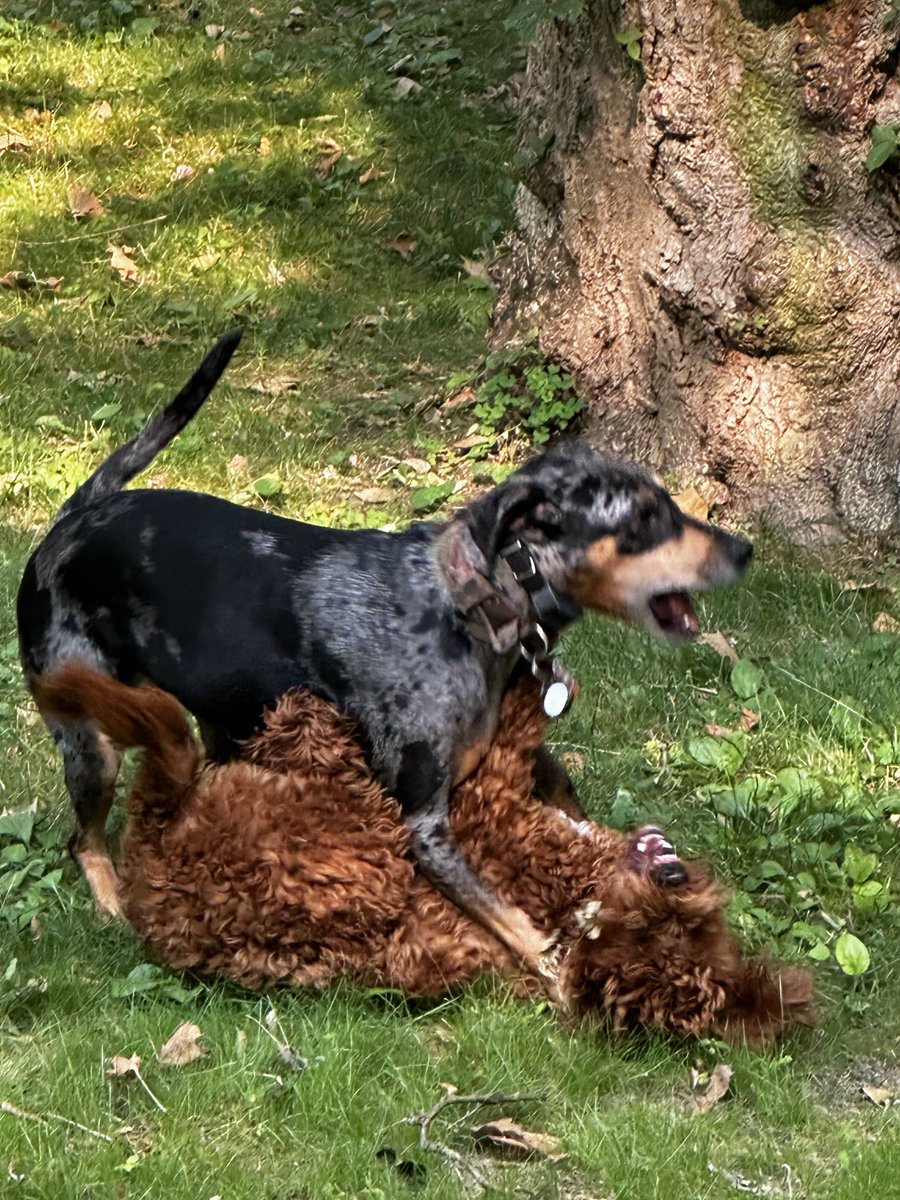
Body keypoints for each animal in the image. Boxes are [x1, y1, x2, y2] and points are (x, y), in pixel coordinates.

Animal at [19, 331, 753, 974]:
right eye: (644, 519)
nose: (745, 549)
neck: (463, 605)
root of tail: (74, 519)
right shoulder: (425, 823)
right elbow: (516, 920)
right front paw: (563, 964)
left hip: (220, 723)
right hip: (90, 741)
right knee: (84, 842)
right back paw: (115, 905)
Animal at [37, 667, 816, 1041]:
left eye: (674, 932)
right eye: (699, 925)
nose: (676, 869)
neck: (576, 905)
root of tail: (156, 854)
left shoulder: (489, 810)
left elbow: (511, 740)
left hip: (360, 831)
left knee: (303, 743)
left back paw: (308, 715)